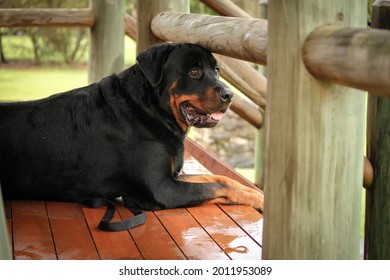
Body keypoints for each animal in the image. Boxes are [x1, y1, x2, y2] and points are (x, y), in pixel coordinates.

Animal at [0, 42, 264, 211]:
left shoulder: (173, 176)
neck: (149, 110)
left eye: (216, 70)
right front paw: (259, 201)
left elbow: (221, 178)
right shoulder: (163, 189)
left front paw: (257, 193)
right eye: (194, 71)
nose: (230, 94)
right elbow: (218, 186)